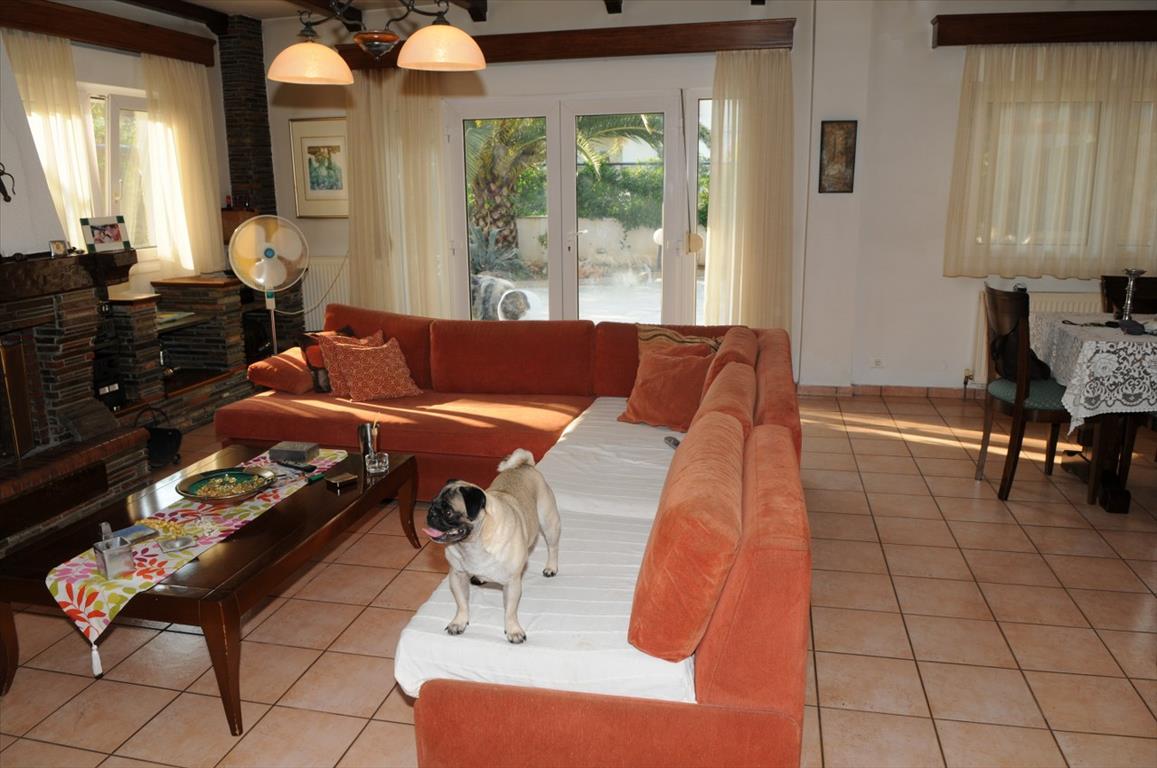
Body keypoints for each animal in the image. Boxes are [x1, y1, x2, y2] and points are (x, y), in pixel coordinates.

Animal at [423, 449, 560, 644]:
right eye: (432, 504)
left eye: (449, 512)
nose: (431, 514)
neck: (473, 543)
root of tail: (524, 466)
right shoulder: (457, 576)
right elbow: (461, 603)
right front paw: (459, 622)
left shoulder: (512, 583)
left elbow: (510, 611)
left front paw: (513, 630)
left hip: (549, 524)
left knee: (553, 547)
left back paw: (551, 567)